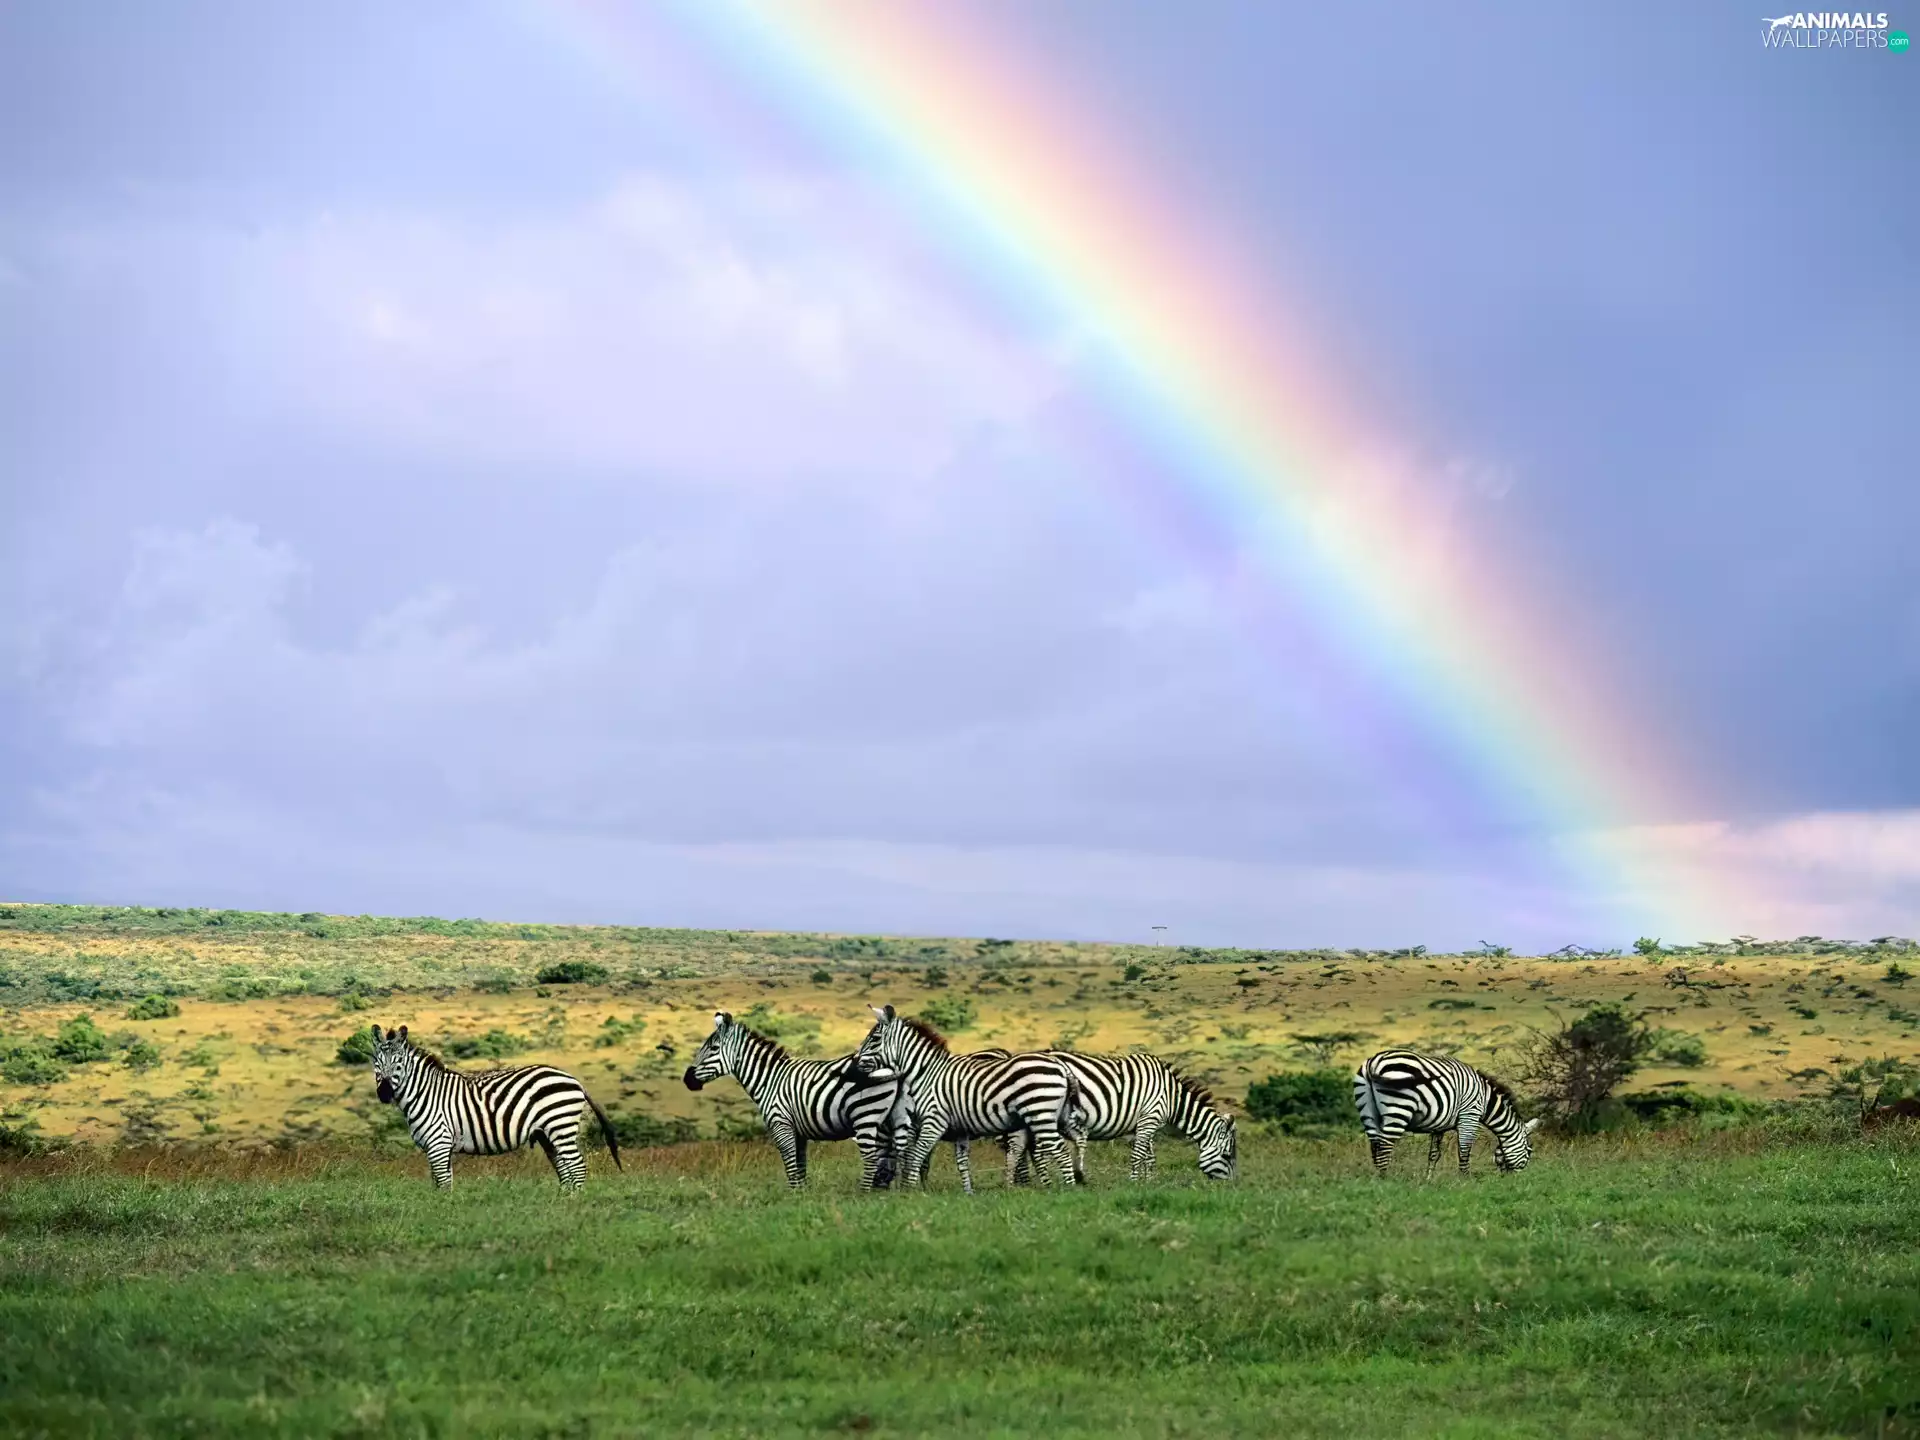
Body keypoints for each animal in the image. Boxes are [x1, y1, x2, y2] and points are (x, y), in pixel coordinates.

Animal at [368, 1023, 622, 1189]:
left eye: (399, 1063)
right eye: (376, 1062)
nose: (384, 1093)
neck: (425, 1093)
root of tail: (574, 1080)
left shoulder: (438, 1143)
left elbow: (442, 1183)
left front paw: (443, 1212)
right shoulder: (439, 1147)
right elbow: (442, 1182)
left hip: (560, 1126)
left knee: (577, 1166)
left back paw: (573, 1204)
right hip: (547, 1134)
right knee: (564, 1168)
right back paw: (562, 1201)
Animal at [682, 1011, 913, 1189]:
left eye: (713, 1048)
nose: (687, 1079)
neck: (770, 1080)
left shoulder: (781, 1124)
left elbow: (790, 1164)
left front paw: (793, 1195)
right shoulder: (799, 1130)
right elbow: (800, 1165)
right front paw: (802, 1195)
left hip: (865, 1115)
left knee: (872, 1158)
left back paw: (864, 1193)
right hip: (891, 1118)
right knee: (895, 1155)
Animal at [847, 1004, 1079, 1192]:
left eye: (874, 1039)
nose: (854, 1067)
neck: (926, 1073)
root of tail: (1061, 1065)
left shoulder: (933, 1121)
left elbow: (916, 1156)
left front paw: (908, 1191)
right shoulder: (960, 1129)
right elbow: (961, 1162)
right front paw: (968, 1193)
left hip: (1040, 1113)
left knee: (1060, 1150)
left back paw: (1068, 1190)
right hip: (1050, 1116)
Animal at [1004, 1051, 1236, 1183]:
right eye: (1227, 1156)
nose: (1232, 1188)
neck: (1172, 1097)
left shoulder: (1144, 1122)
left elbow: (1148, 1156)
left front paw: (1149, 1183)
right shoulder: (1150, 1118)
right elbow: (1137, 1155)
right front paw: (1134, 1184)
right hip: (1041, 1110)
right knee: (1033, 1150)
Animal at [1353, 1048, 1540, 1176]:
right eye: (1529, 1151)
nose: (1513, 1180)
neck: (1486, 1102)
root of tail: (1373, 1062)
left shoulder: (1439, 1126)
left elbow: (1434, 1154)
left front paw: (1428, 1179)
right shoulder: (1469, 1116)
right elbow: (1464, 1150)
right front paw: (1465, 1179)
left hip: (1367, 1111)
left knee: (1375, 1145)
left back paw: (1379, 1179)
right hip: (1398, 1108)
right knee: (1385, 1145)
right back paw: (1387, 1180)